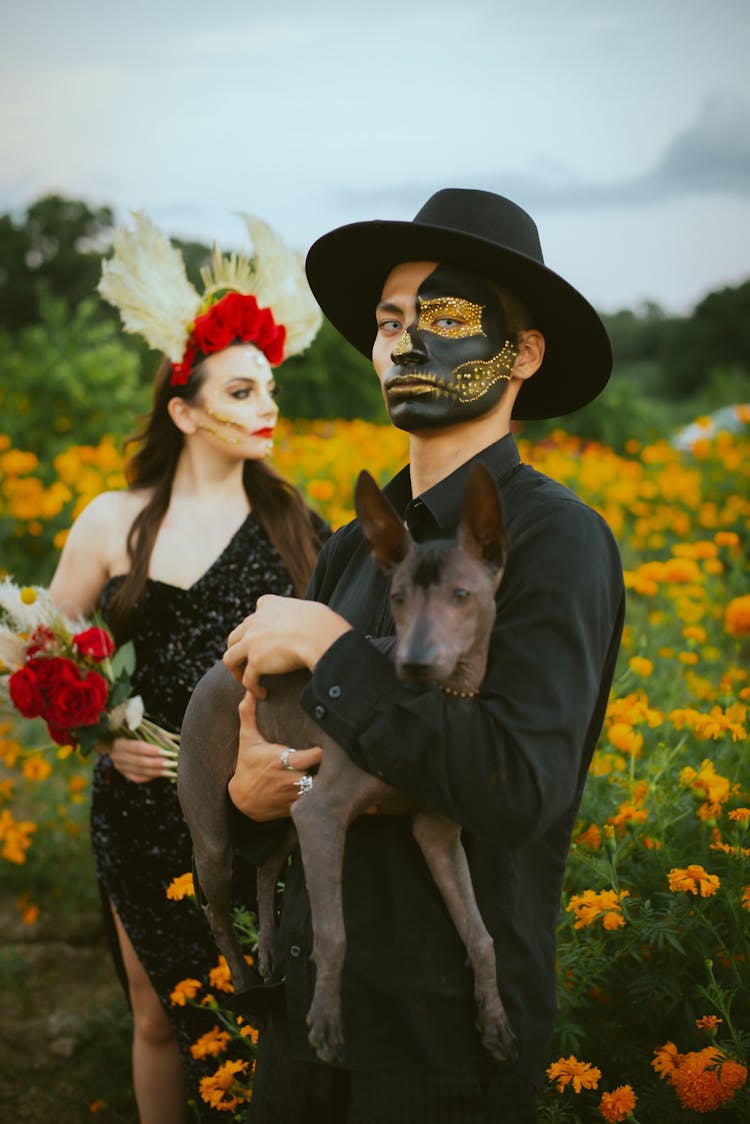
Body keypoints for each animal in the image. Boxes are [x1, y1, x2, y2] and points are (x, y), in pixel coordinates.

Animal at [177, 463, 517, 1061]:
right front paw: (325, 1022)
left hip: (288, 815)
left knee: (267, 867)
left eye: (461, 595)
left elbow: (480, 934)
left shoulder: (435, 832)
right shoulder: (322, 815)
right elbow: (333, 933)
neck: (425, 705)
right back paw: (246, 988)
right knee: (217, 912)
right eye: (399, 598)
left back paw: (268, 949)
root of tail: (214, 670)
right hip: (216, 835)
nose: (415, 661)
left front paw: (494, 1020)